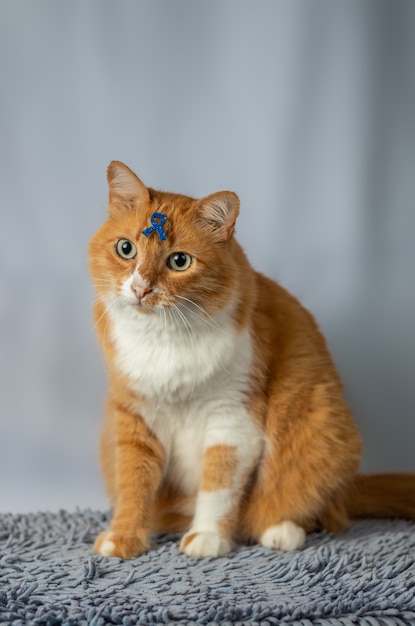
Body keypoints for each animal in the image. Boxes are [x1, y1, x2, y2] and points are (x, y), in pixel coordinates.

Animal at [88, 160, 415, 556]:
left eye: (179, 261)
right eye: (126, 249)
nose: (141, 288)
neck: (166, 340)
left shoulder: (232, 418)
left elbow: (219, 485)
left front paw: (208, 537)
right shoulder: (134, 418)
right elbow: (133, 482)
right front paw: (124, 537)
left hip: (321, 427)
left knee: (316, 509)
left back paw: (281, 531)